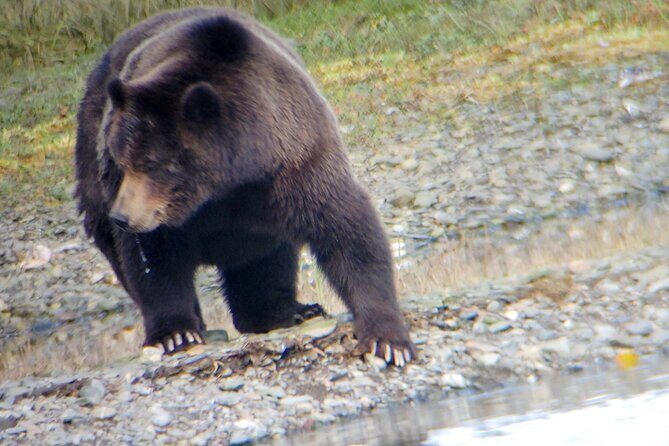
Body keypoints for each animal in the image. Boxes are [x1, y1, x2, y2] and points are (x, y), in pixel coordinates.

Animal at [74, 7, 415, 366]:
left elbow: (348, 230)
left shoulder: (295, 162)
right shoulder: (160, 210)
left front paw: (388, 339)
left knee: (263, 260)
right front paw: (176, 333)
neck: (227, 180)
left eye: (153, 164)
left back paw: (285, 310)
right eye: (121, 158)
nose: (123, 216)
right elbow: (153, 260)